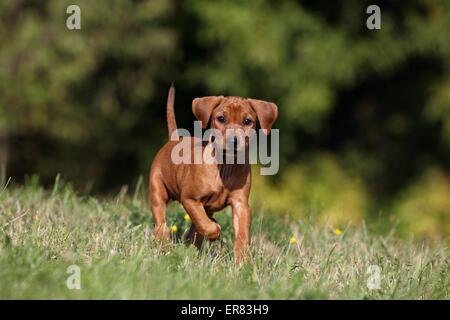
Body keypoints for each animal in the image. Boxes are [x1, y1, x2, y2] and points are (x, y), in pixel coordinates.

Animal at [150, 84, 278, 262]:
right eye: (221, 118)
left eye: (247, 121)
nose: (233, 141)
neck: (225, 166)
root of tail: (174, 140)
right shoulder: (190, 199)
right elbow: (206, 225)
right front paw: (215, 230)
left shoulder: (241, 205)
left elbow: (242, 234)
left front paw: (243, 260)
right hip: (158, 191)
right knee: (161, 221)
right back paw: (166, 245)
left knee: (194, 232)